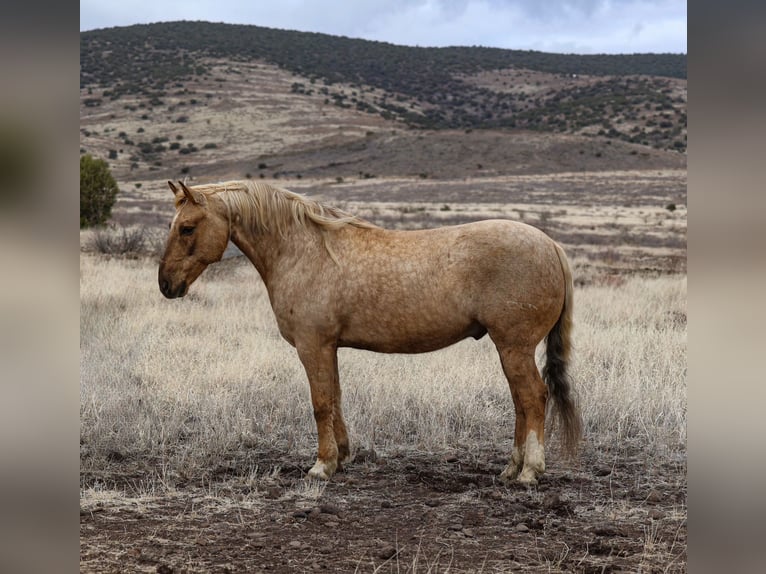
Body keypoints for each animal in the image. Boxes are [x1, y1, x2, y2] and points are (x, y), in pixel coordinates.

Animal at [160, 181, 584, 486]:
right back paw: (510, 468)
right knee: (521, 403)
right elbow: (335, 399)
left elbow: (320, 403)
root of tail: (550, 244)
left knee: (533, 398)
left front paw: (322, 466)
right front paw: (342, 456)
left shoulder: (312, 346)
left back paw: (529, 471)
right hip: (509, 350)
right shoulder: (328, 347)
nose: (166, 285)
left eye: (187, 227)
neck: (304, 251)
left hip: (515, 347)